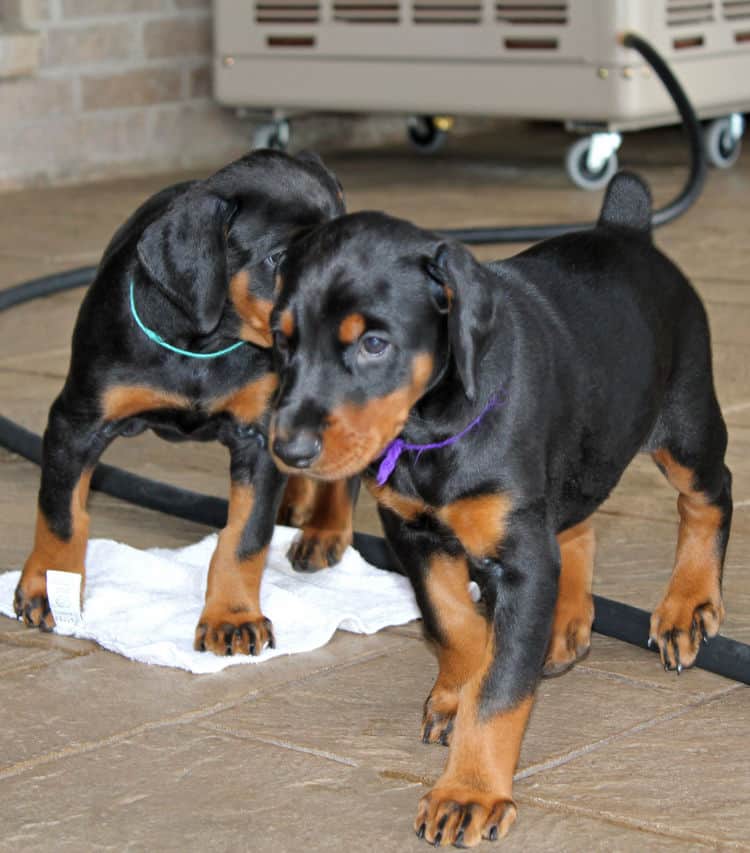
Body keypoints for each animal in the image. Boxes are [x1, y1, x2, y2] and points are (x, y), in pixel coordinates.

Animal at [13, 150, 356, 656]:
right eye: (279, 258)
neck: (204, 346)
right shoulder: (76, 423)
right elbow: (62, 515)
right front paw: (48, 588)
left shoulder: (255, 438)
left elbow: (245, 537)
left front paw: (232, 618)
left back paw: (325, 530)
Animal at [268, 175, 736, 844]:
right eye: (283, 340)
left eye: (375, 343)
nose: (289, 451)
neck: (432, 430)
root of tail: (625, 228)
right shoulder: (412, 533)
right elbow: (450, 620)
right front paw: (456, 691)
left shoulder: (521, 559)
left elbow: (501, 690)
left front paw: (469, 794)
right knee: (577, 522)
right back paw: (565, 625)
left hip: (685, 421)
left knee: (709, 494)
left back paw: (687, 606)